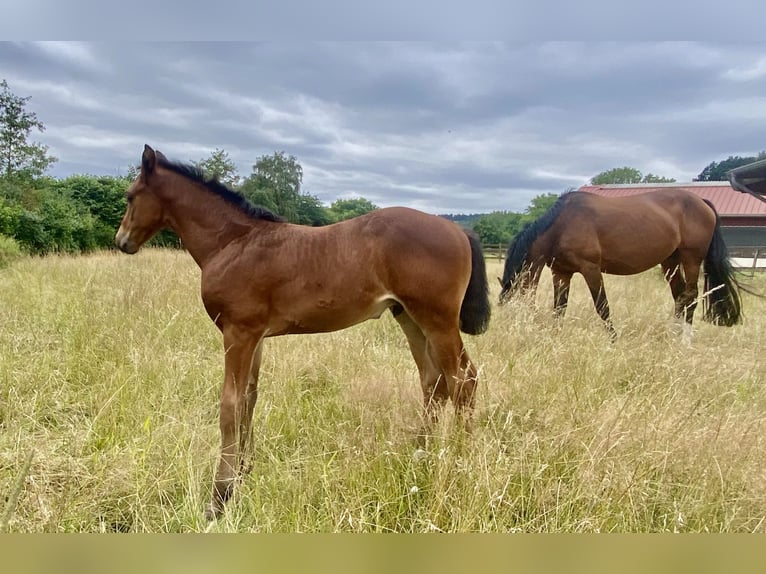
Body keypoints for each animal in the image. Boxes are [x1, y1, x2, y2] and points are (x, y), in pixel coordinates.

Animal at [115, 145, 492, 520]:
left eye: (130, 196)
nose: (122, 242)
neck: (233, 242)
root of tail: (457, 229)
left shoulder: (237, 333)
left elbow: (230, 405)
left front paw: (219, 497)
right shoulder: (254, 336)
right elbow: (250, 397)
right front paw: (243, 475)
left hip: (438, 321)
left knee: (463, 380)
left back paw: (460, 462)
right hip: (410, 318)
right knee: (434, 380)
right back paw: (420, 456)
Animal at [498, 189, 744, 342]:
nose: (513, 335)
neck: (562, 225)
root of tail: (703, 202)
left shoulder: (590, 269)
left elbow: (602, 307)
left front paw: (613, 340)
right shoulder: (562, 272)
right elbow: (559, 309)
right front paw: (554, 338)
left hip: (691, 258)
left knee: (690, 297)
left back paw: (684, 341)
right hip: (670, 262)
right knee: (679, 296)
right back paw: (672, 336)